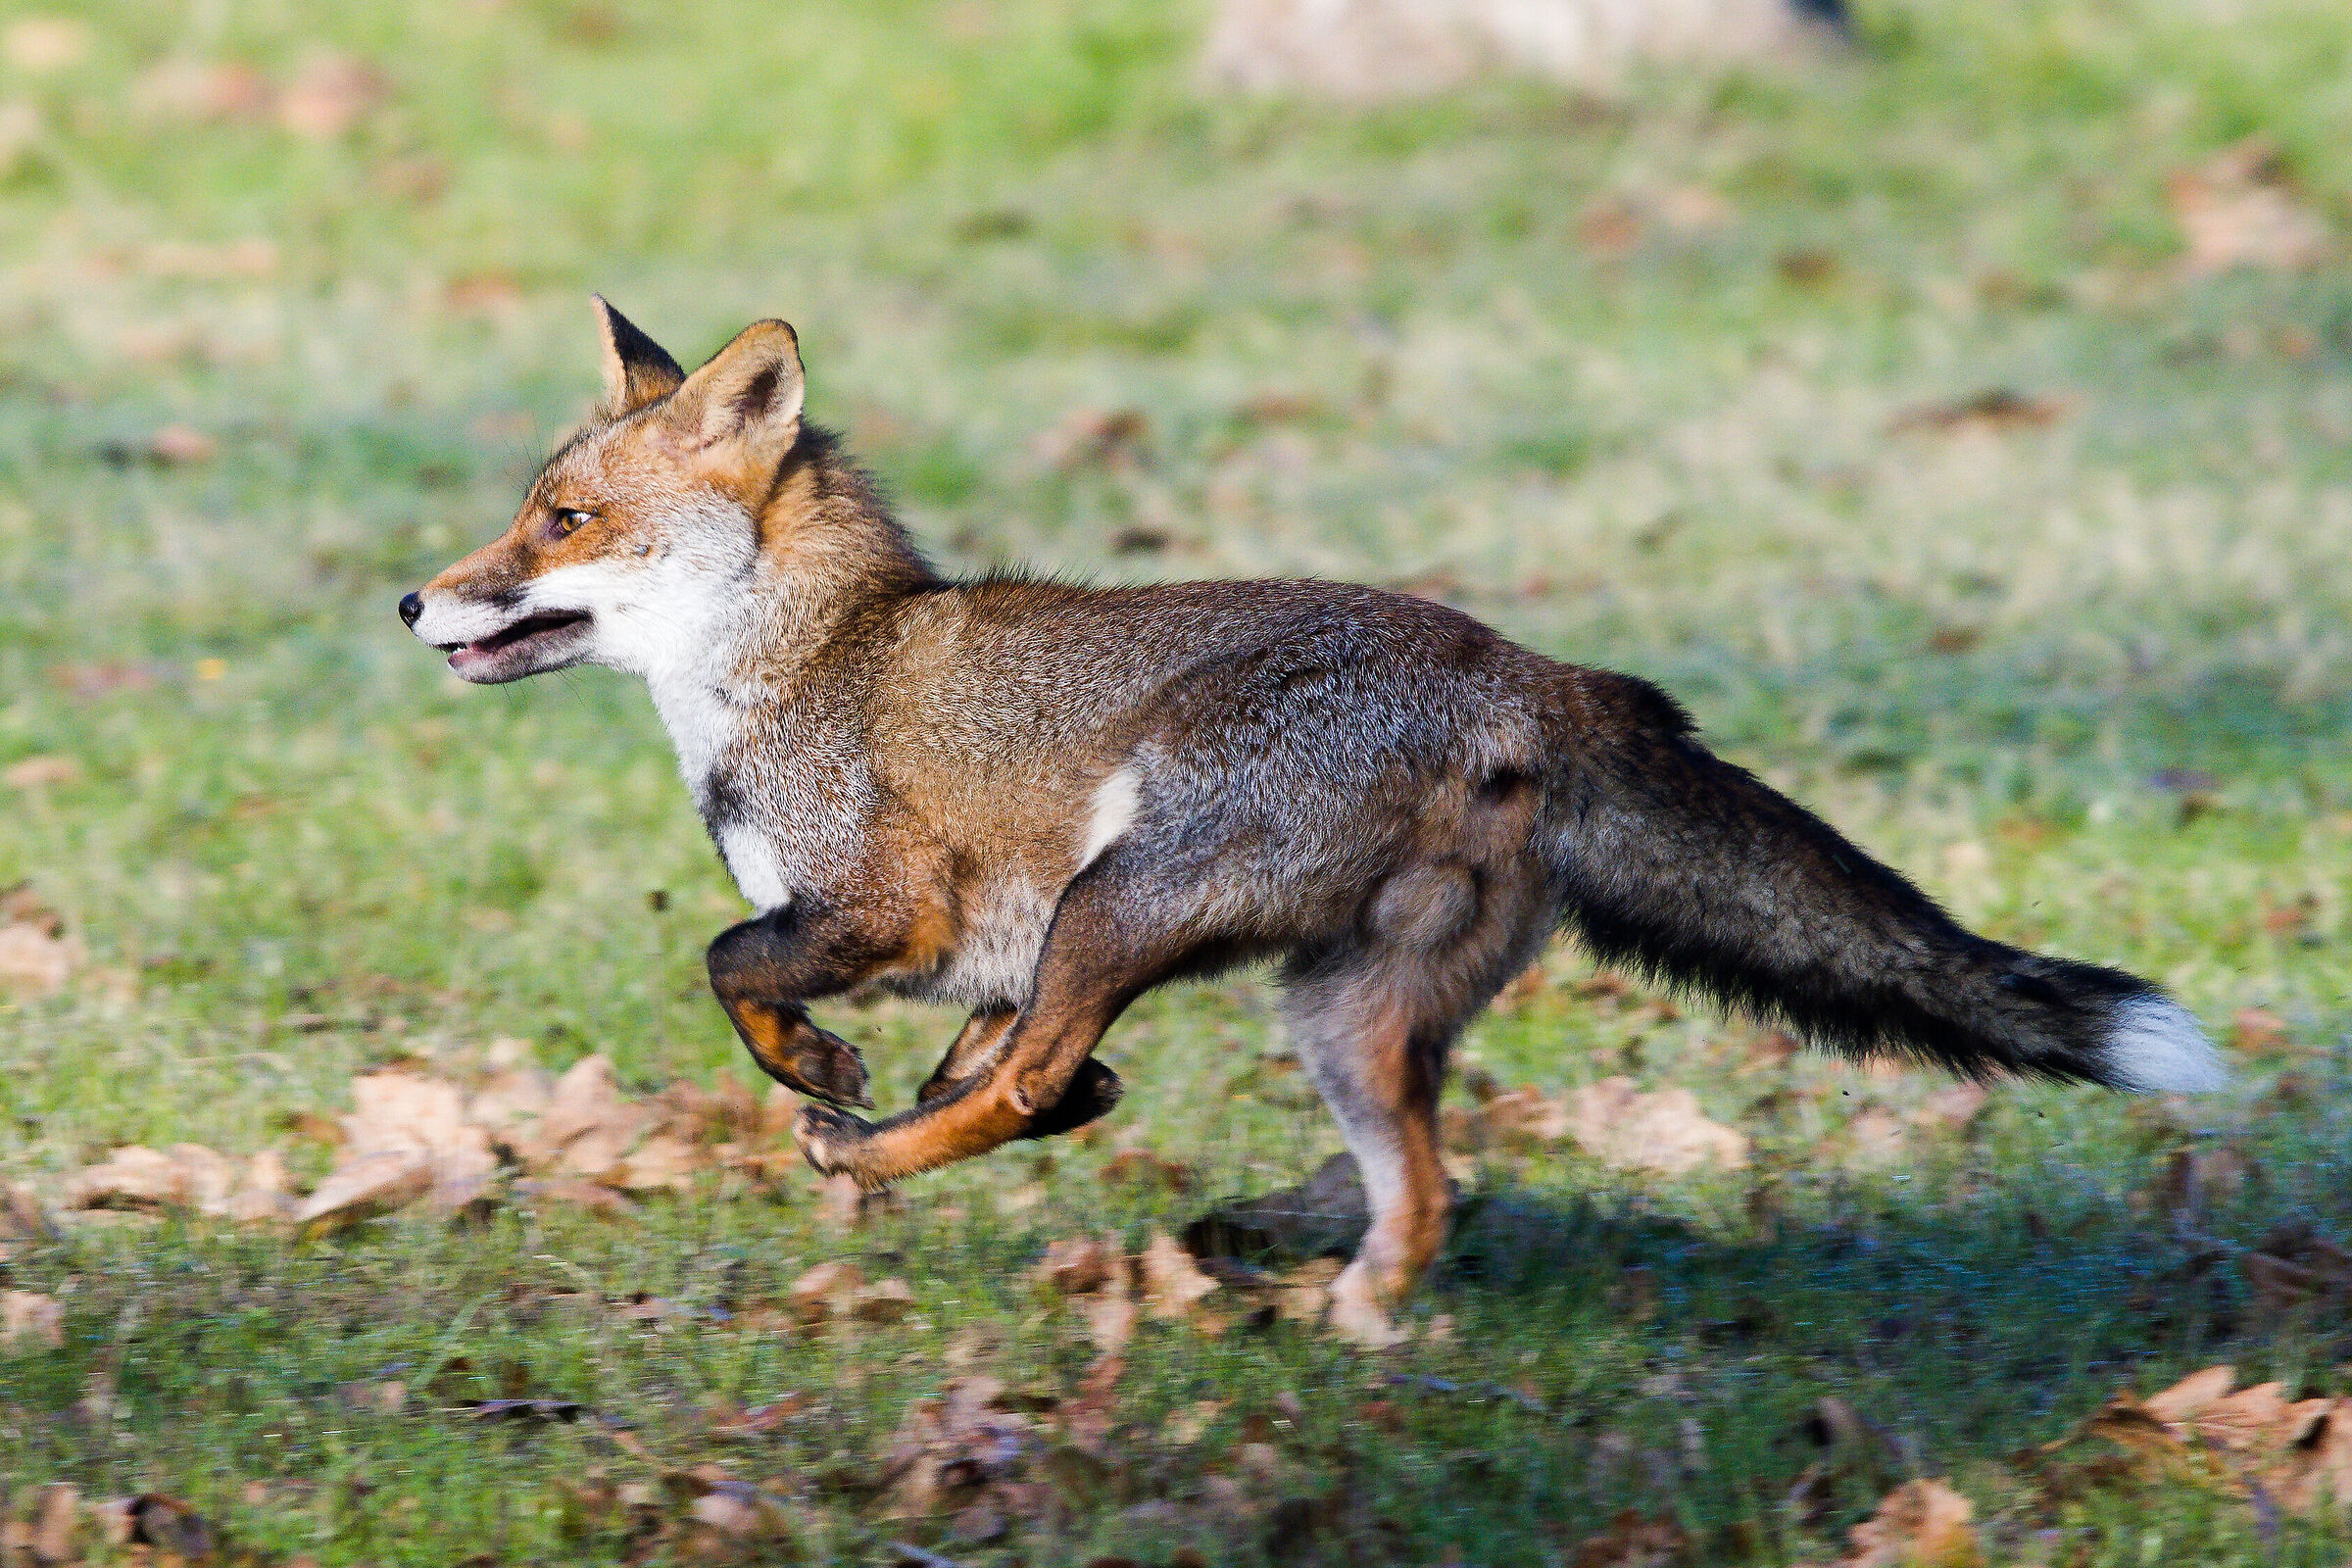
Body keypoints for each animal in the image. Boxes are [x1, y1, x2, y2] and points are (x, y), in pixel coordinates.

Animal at [401, 300, 2227, 1334]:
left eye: (559, 521)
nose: (411, 600)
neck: (809, 659)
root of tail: (1536, 672)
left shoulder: (894, 907)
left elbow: (739, 964)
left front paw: (830, 1080)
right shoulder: (989, 955)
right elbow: (981, 1047)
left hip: (1130, 898)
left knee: (1043, 1083)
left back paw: (884, 1156)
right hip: (1339, 1013)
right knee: (1419, 1192)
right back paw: (1345, 1323)